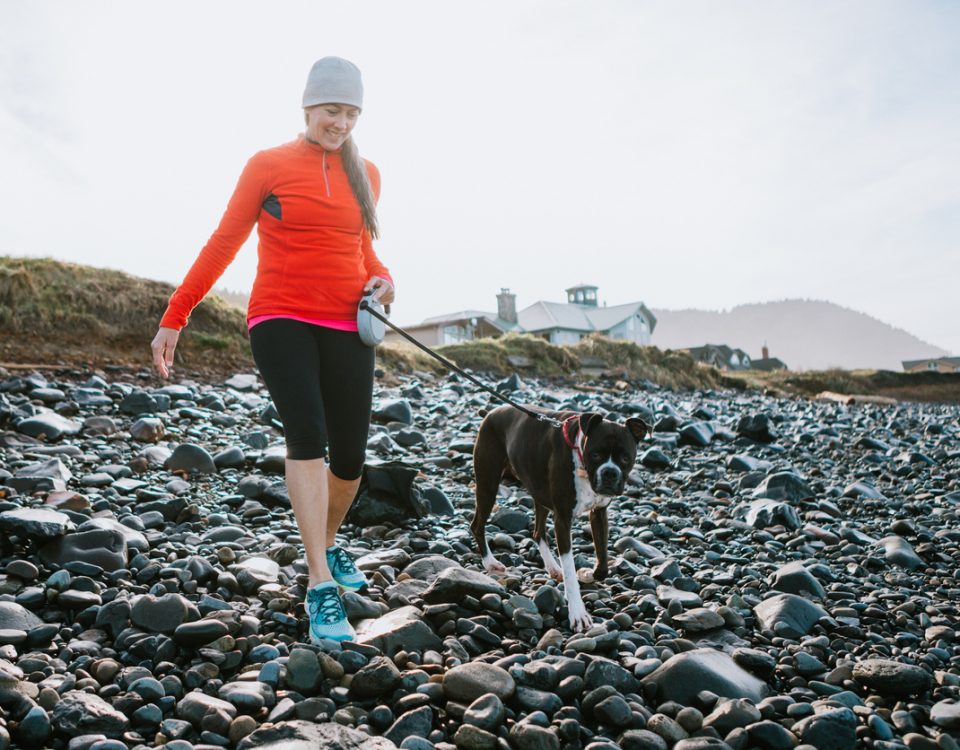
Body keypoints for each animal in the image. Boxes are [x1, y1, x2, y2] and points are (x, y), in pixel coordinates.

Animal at [468, 406, 648, 636]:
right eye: (596, 454)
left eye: (625, 458)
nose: (609, 472)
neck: (580, 457)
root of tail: (491, 412)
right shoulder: (563, 520)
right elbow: (570, 571)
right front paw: (578, 614)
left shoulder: (599, 513)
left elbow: (602, 565)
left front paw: (588, 574)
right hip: (488, 484)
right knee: (477, 525)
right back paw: (490, 562)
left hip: (539, 493)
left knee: (537, 532)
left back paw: (553, 567)